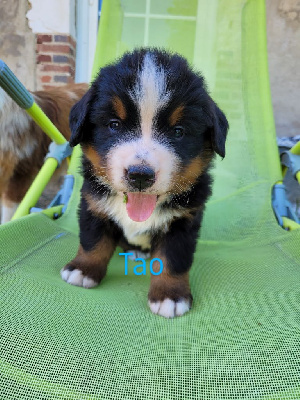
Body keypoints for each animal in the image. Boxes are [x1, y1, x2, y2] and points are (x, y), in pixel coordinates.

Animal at [61, 49, 230, 318]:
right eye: (114, 125)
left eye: (178, 131)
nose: (140, 174)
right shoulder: (94, 206)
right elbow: (92, 242)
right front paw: (83, 270)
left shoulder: (182, 222)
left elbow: (173, 260)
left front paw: (170, 295)